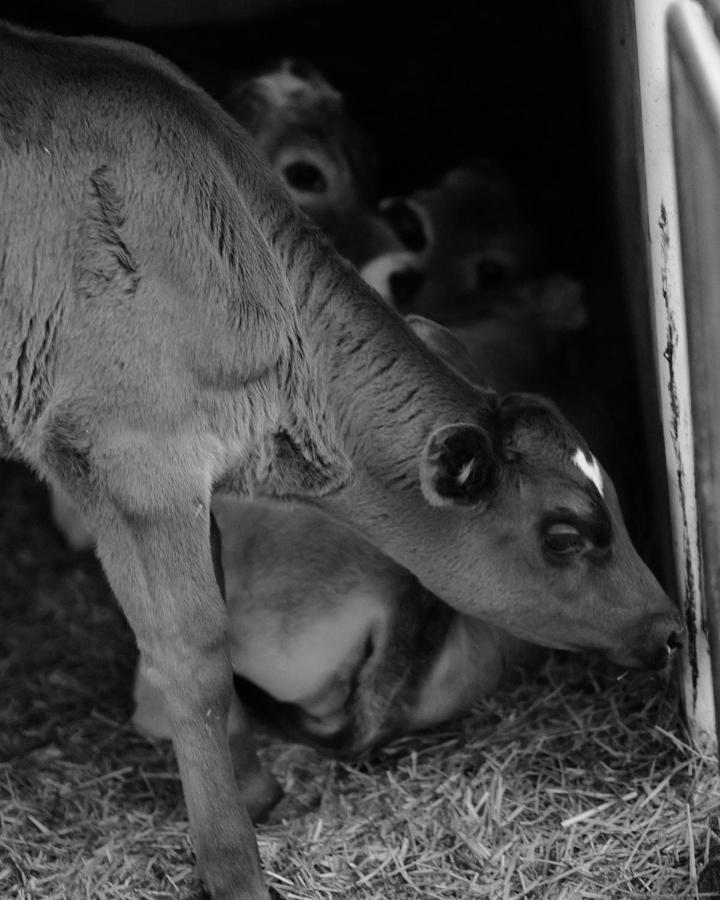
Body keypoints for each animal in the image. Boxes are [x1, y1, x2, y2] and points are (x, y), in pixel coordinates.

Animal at [1, 22, 680, 900]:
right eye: (565, 535)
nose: (674, 628)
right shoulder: (132, 463)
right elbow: (191, 660)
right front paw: (235, 867)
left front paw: (258, 790)